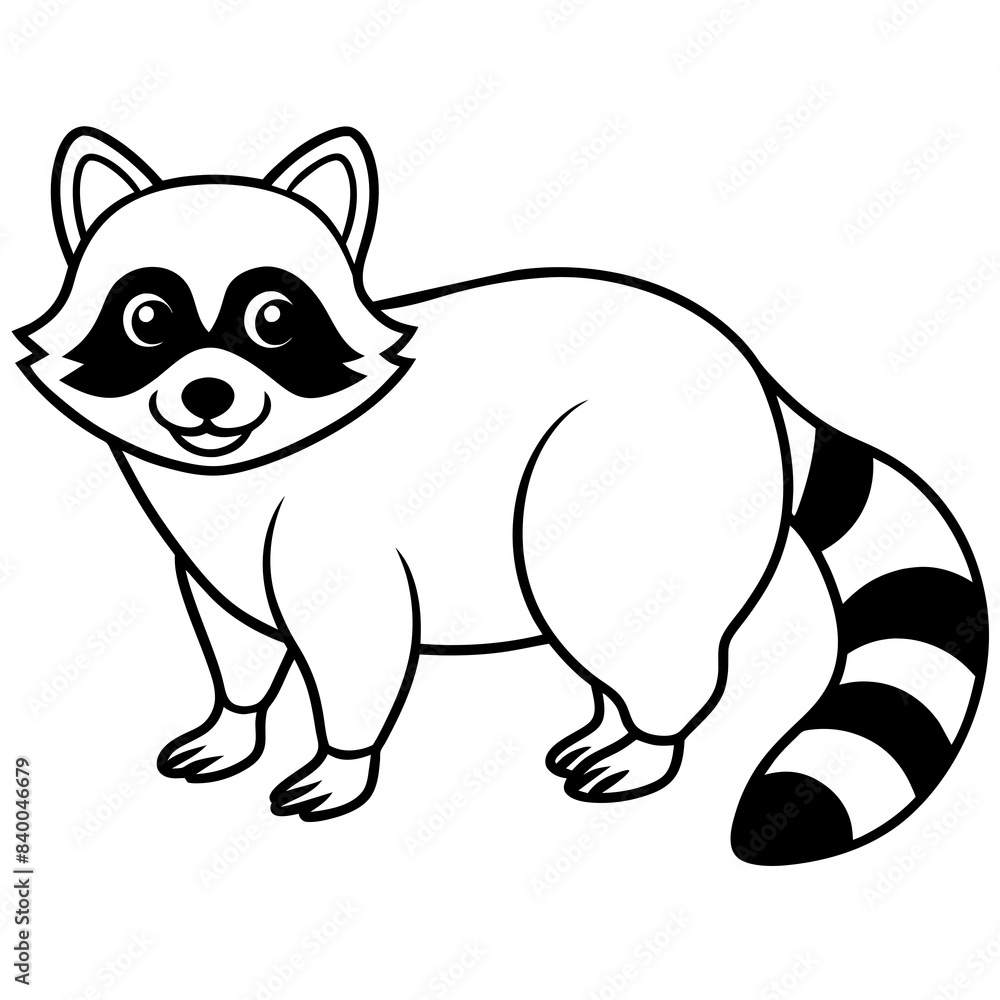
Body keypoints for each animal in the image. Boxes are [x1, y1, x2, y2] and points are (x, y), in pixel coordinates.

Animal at [17, 126, 988, 865]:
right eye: (148, 320)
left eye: (273, 322)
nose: (208, 395)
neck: (240, 468)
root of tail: (748, 366)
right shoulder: (213, 545)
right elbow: (236, 635)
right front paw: (236, 720)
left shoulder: (339, 536)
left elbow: (359, 647)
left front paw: (341, 759)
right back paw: (604, 722)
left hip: (639, 472)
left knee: (610, 602)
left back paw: (649, 737)